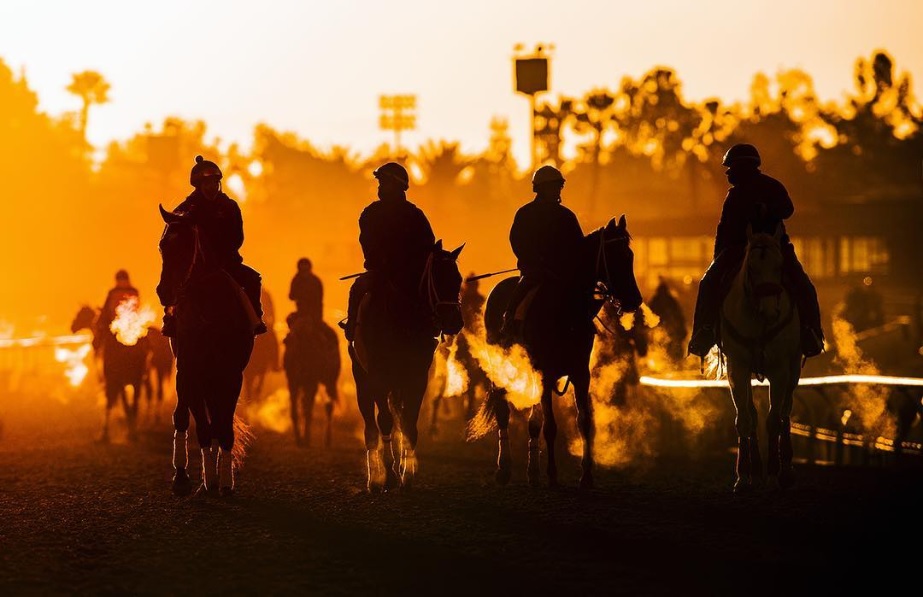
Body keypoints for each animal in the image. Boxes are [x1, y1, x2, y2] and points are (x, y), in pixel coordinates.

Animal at [70, 304, 148, 440]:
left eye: (80, 314)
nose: (72, 327)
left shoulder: (112, 381)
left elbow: (112, 402)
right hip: (136, 380)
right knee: (134, 404)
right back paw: (133, 429)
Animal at [156, 203, 254, 496]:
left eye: (187, 245)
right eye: (163, 245)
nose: (164, 292)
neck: (211, 310)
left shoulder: (231, 375)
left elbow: (223, 426)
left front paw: (225, 483)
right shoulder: (191, 371)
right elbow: (202, 427)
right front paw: (208, 481)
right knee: (182, 417)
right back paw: (182, 476)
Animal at [284, 314, 342, 444]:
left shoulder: (311, 382)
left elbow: (307, 409)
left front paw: (305, 439)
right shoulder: (293, 382)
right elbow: (296, 411)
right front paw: (300, 439)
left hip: (329, 381)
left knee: (328, 406)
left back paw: (327, 440)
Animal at [476, 217, 644, 486]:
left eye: (629, 255)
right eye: (615, 255)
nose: (633, 300)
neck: (566, 309)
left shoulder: (580, 374)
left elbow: (583, 422)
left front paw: (586, 475)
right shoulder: (545, 373)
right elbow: (550, 426)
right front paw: (552, 474)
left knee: (533, 422)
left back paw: (532, 471)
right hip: (502, 368)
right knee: (504, 412)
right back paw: (504, 468)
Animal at [716, 221, 800, 492]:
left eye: (780, 266)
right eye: (751, 268)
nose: (771, 311)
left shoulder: (781, 370)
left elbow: (774, 420)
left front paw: (773, 476)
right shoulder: (738, 369)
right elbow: (745, 419)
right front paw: (743, 477)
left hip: (795, 369)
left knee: (785, 411)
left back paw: (786, 472)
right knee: (753, 414)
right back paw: (755, 471)